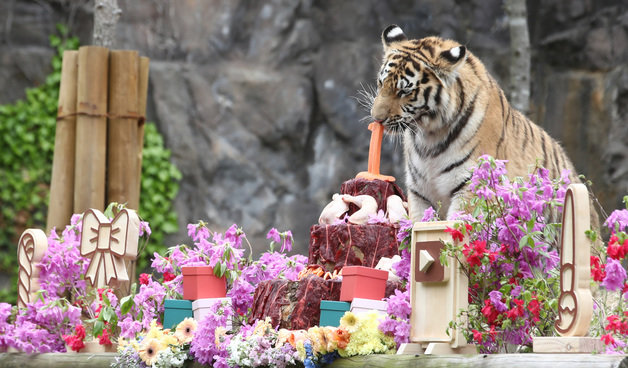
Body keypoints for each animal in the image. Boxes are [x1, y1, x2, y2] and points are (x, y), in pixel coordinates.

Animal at [370, 24, 596, 226]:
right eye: (381, 83)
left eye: (404, 91)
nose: (376, 118)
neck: (428, 136)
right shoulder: (419, 192)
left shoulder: (471, 185)